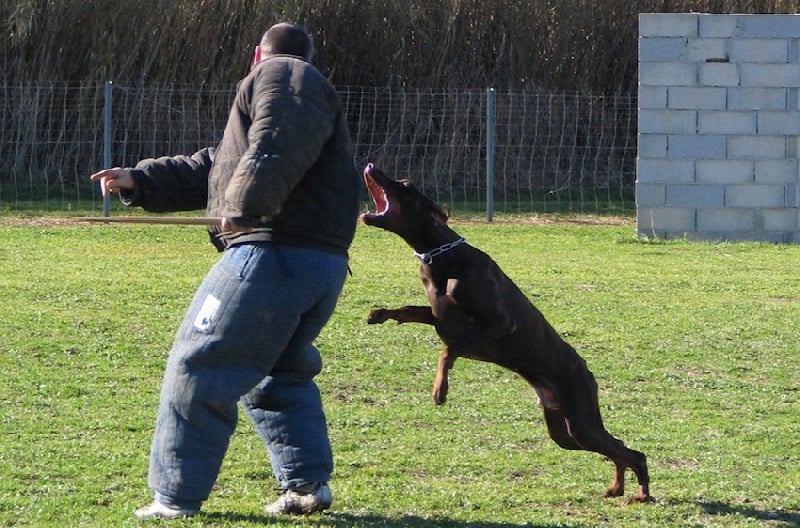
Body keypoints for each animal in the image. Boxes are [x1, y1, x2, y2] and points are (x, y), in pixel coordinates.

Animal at [360, 164, 652, 504]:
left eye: (405, 185)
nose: (371, 166)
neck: (440, 256)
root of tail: (588, 372)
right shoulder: (438, 316)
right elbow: (409, 310)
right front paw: (379, 314)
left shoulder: (499, 322)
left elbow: (449, 351)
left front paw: (439, 389)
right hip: (565, 431)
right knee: (617, 449)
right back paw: (617, 487)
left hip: (581, 420)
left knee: (631, 453)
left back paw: (642, 493)